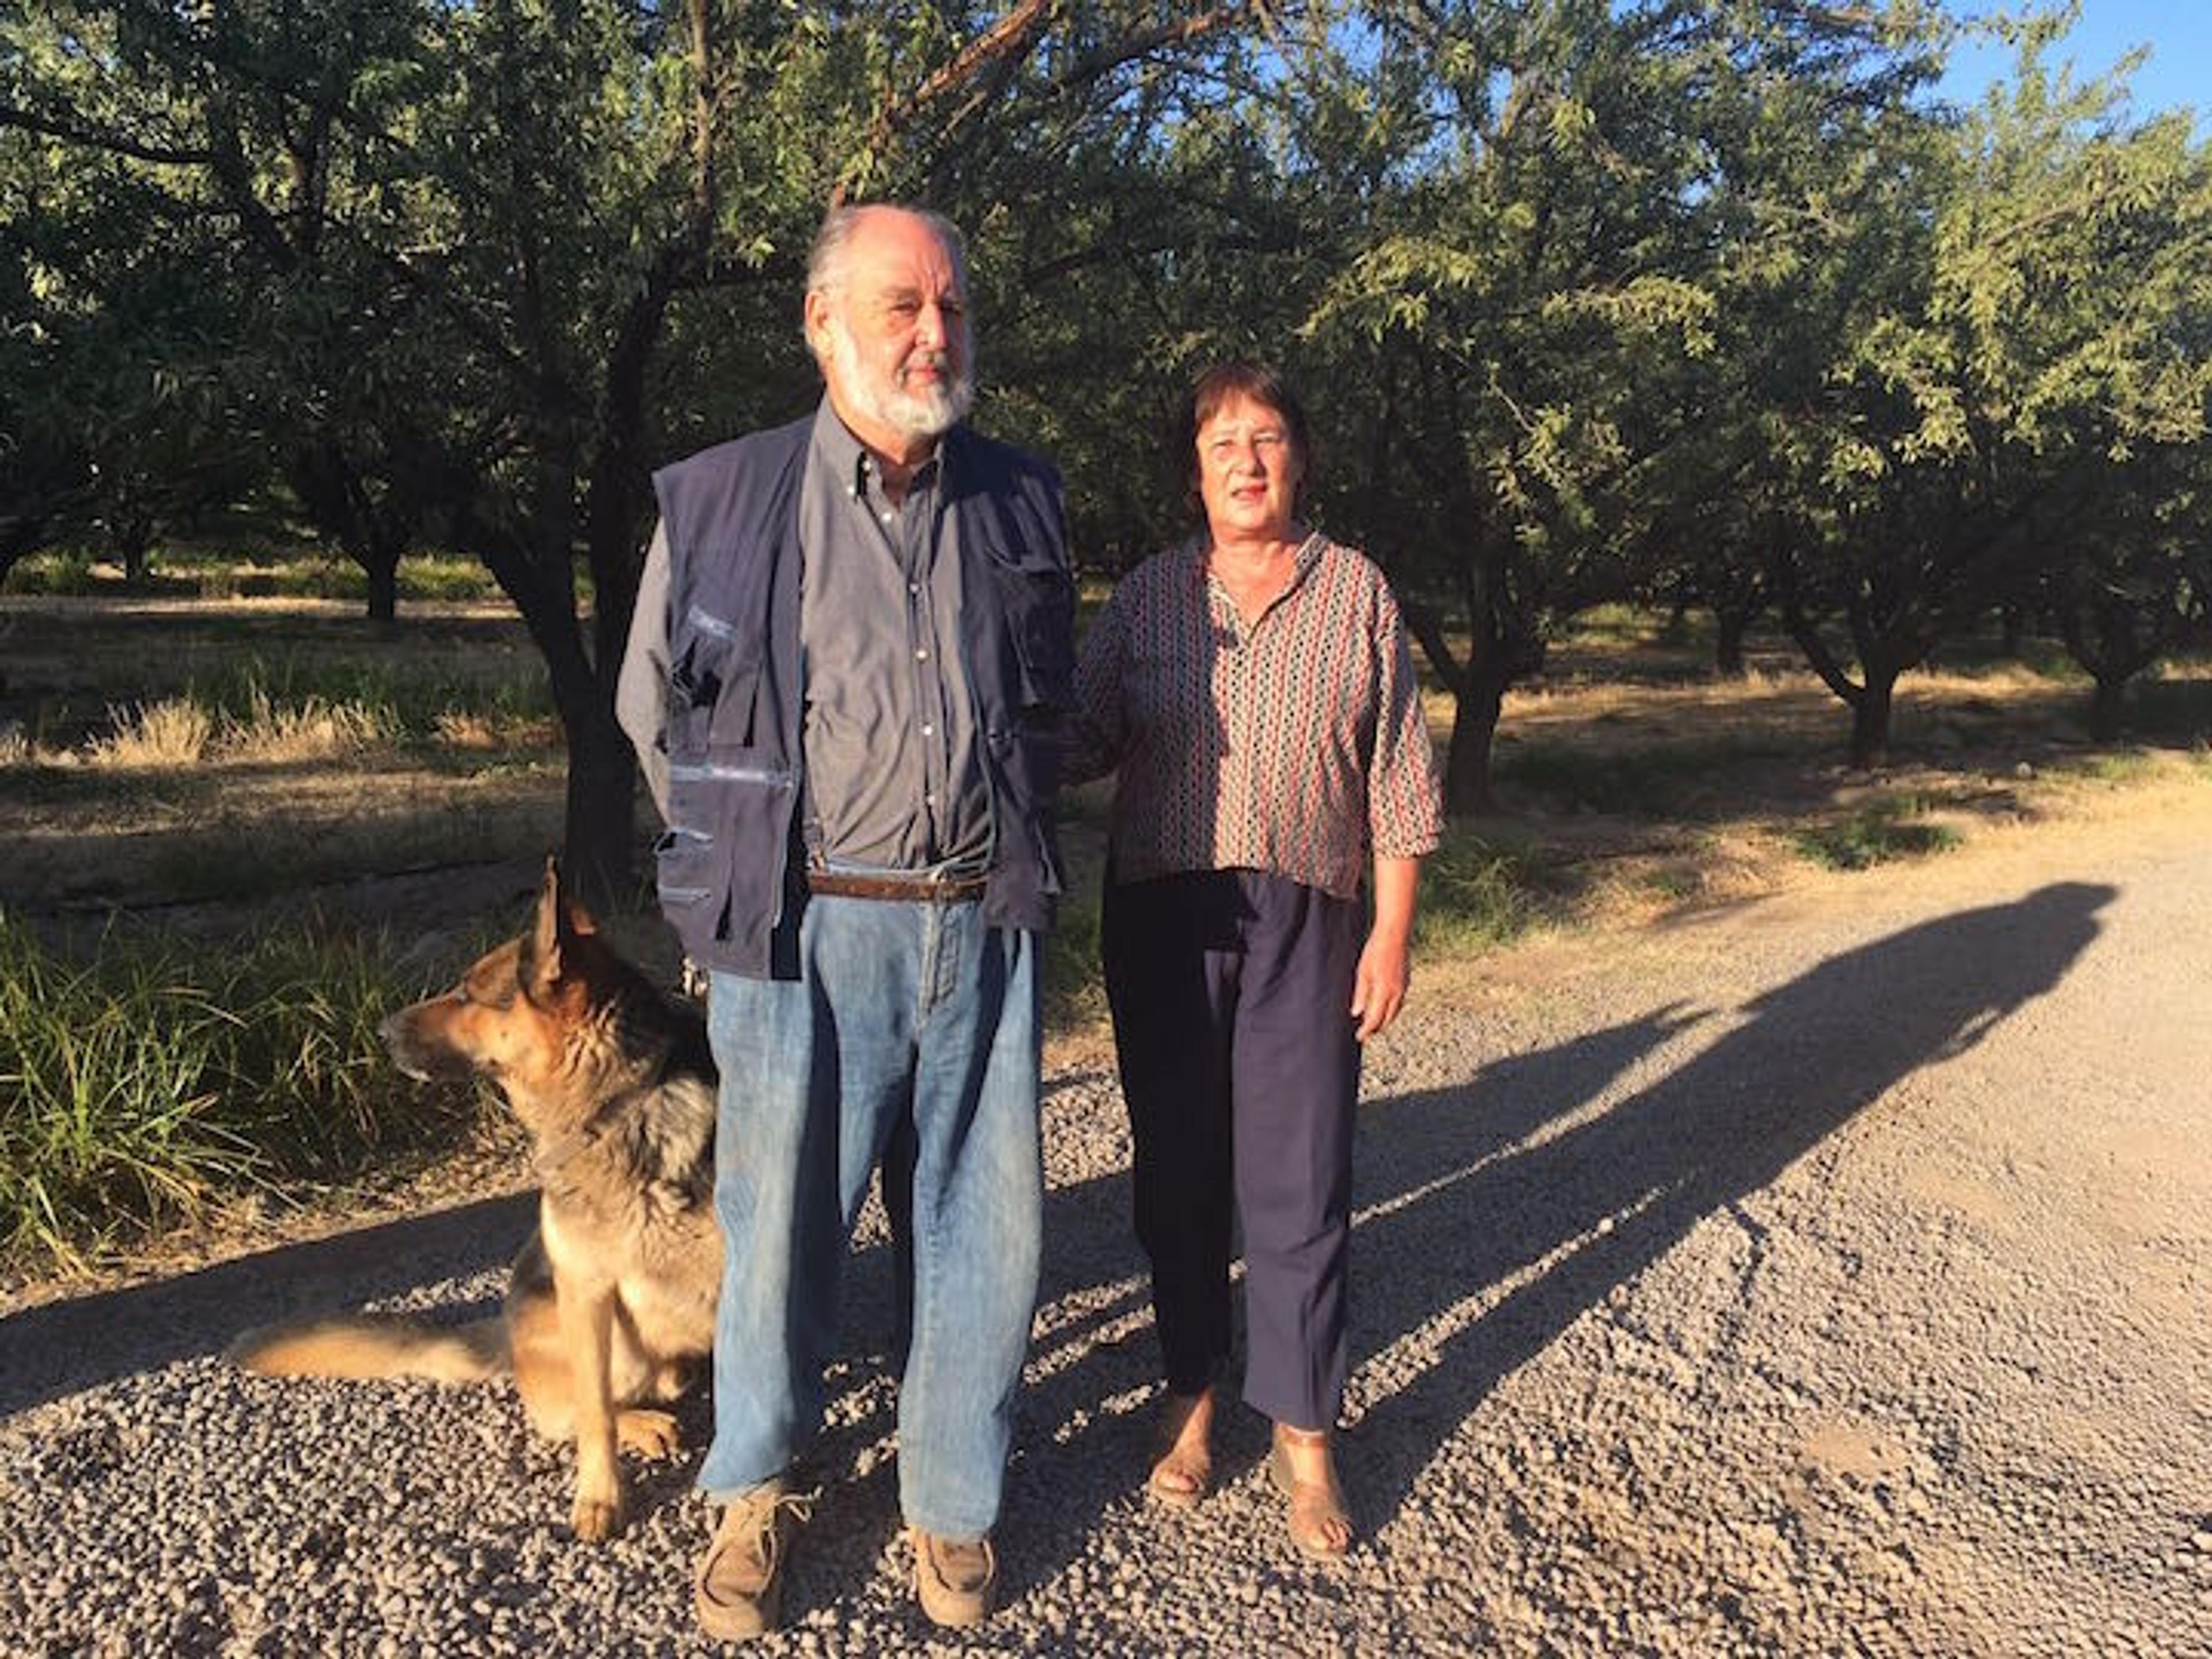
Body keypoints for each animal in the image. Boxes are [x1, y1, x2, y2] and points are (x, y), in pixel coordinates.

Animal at [229, 871, 721, 1548]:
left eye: (468, 992)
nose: (380, 1030)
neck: (617, 1106)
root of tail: (506, 1338)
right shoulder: (586, 1291)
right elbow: (595, 1413)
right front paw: (600, 1497)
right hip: (592, 1333)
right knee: (575, 1409)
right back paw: (644, 1423)